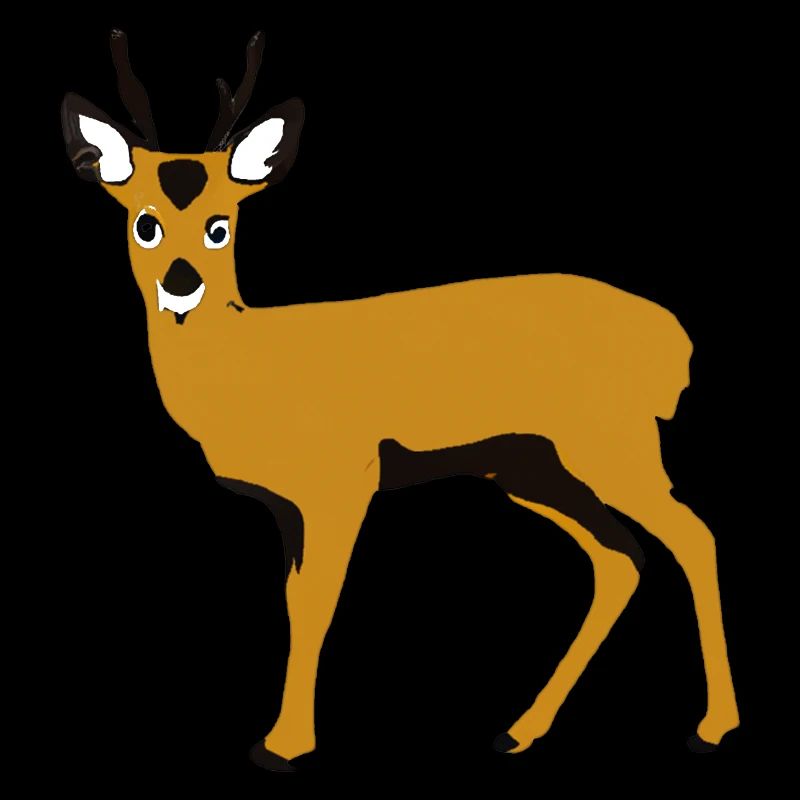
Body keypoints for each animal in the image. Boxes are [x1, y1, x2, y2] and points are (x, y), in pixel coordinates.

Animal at [61, 30, 739, 771]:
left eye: (221, 224)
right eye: (144, 222)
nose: (180, 286)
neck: (254, 369)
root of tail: (672, 338)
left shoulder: (343, 481)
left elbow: (318, 601)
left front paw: (285, 745)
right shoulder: (287, 505)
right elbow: (293, 599)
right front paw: (283, 737)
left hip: (610, 447)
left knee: (693, 535)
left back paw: (713, 728)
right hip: (531, 470)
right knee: (620, 559)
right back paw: (518, 730)